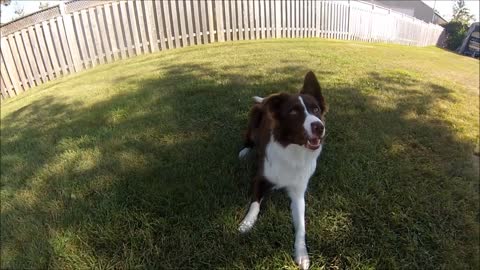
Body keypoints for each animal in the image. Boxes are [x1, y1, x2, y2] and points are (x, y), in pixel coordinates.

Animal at [236, 71, 326, 270]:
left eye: (316, 110)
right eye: (293, 112)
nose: (319, 126)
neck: (293, 151)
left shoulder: (298, 193)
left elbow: (301, 226)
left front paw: (302, 254)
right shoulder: (260, 179)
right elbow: (254, 205)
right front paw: (247, 224)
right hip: (253, 117)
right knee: (249, 139)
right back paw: (245, 151)